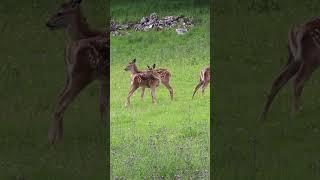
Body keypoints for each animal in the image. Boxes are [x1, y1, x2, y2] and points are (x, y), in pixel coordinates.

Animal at [45, 0, 109, 143]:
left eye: (60, 13)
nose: (48, 23)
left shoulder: (104, 79)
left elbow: (102, 105)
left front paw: (104, 129)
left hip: (72, 76)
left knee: (59, 100)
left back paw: (57, 139)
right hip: (81, 75)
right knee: (61, 103)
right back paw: (53, 140)